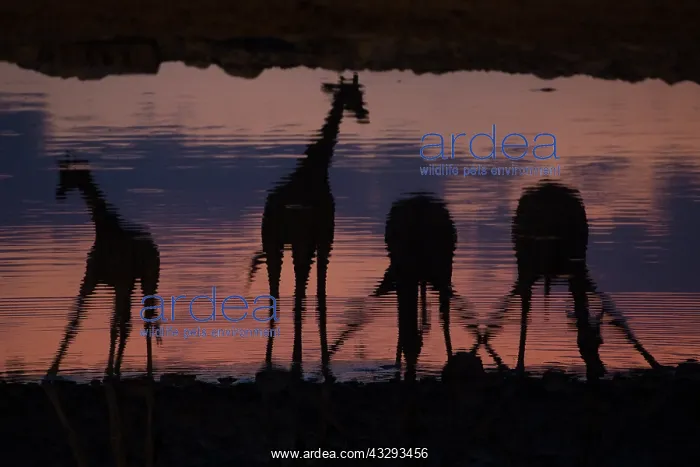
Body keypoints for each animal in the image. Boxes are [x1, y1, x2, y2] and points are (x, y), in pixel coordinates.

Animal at [43, 153, 161, 467]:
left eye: (67, 175)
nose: (58, 194)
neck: (104, 229)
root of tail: (152, 245)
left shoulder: (111, 280)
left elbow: (105, 324)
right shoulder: (98, 280)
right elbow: (81, 320)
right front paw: (51, 373)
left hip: (144, 281)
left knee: (143, 322)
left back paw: (144, 374)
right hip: (134, 284)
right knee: (131, 323)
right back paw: (123, 371)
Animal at [246, 73, 369, 381]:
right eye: (354, 93)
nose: (364, 114)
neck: (317, 167)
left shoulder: (305, 243)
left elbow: (309, 295)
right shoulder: (325, 238)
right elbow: (319, 296)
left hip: (275, 242)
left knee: (278, 293)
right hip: (293, 243)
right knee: (292, 293)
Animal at [476, 180, 660, 380]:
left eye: (600, 342)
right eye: (583, 344)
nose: (598, 371)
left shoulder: (579, 269)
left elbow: (614, 313)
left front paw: (655, 363)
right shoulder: (549, 269)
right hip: (525, 260)